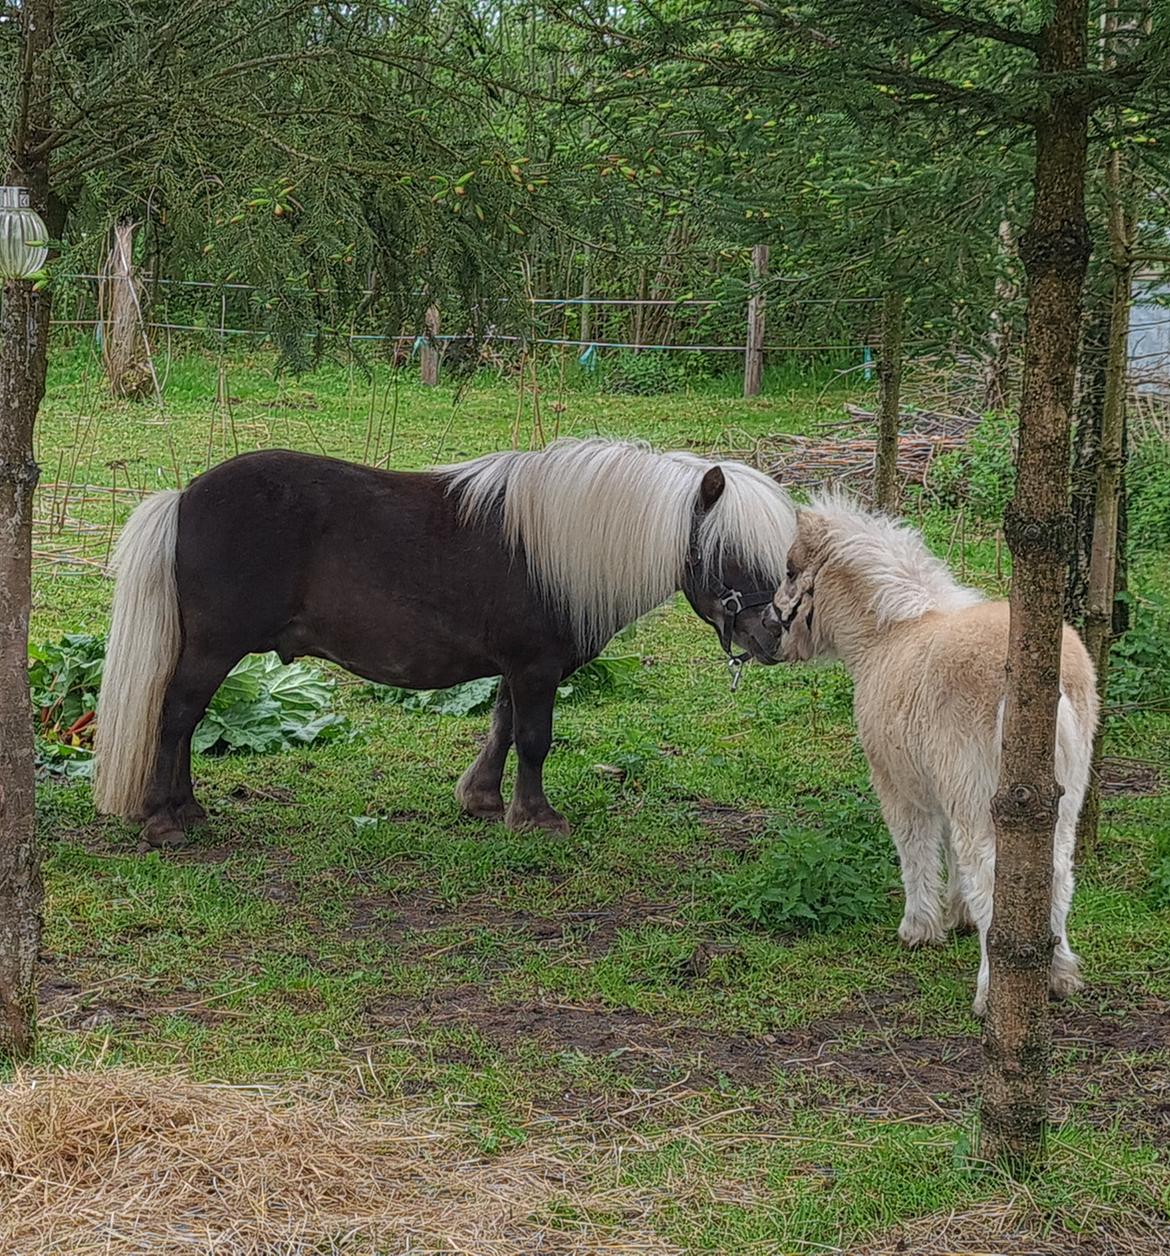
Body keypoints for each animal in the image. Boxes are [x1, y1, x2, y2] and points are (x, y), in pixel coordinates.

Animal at [96, 437, 798, 849]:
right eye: (729, 552)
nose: (773, 633)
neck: (556, 549)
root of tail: (185, 496)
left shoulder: (518, 669)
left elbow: (504, 727)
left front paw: (483, 800)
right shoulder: (536, 667)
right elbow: (535, 739)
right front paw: (536, 817)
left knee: (186, 721)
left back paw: (189, 809)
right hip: (213, 648)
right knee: (176, 716)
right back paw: (163, 818)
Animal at [763, 494, 1099, 1014]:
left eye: (790, 569)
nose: (768, 628)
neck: (888, 635)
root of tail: (1049, 686)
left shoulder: (899, 786)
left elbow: (915, 849)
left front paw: (920, 928)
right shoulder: (942, 788)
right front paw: (958, 917)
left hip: (983, 799)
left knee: (989, 871)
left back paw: (990, 992)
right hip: (1058, 802)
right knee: (1056, 872)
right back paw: (1059, 975)